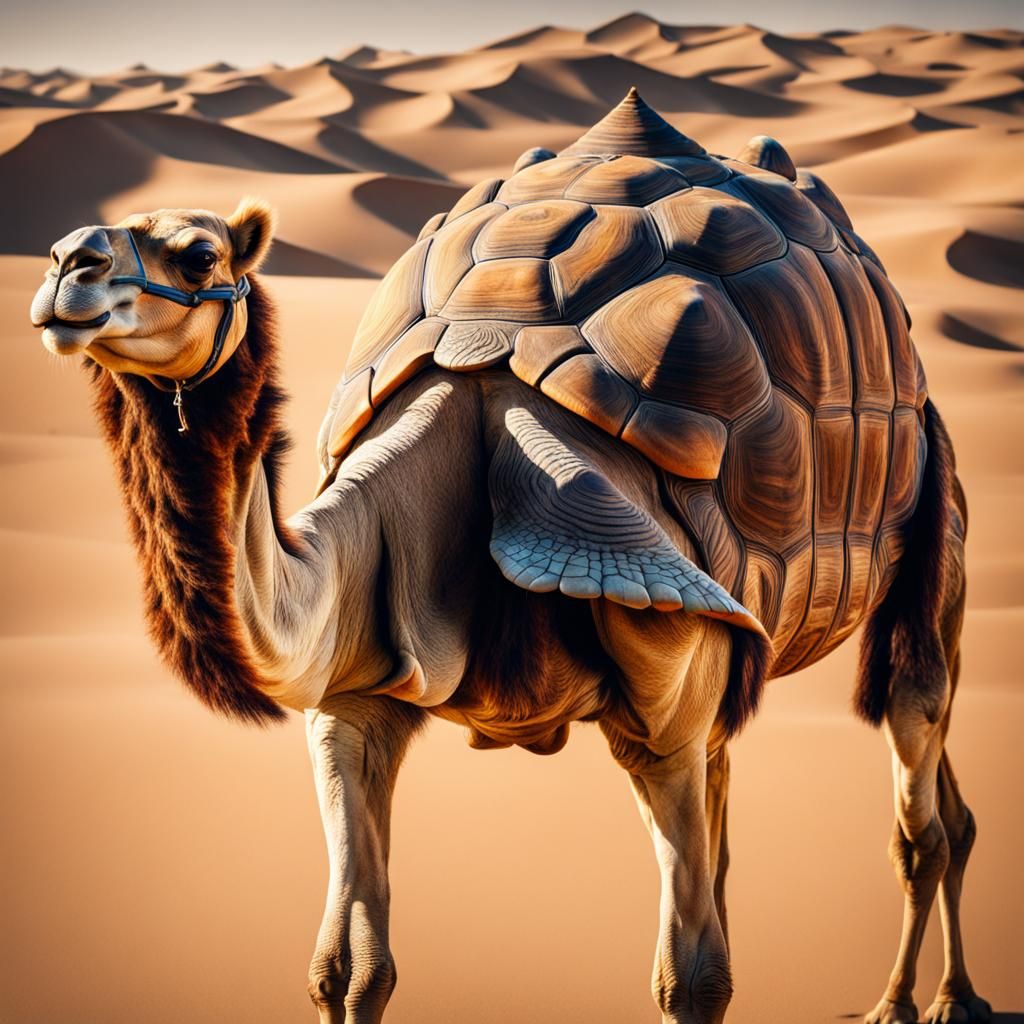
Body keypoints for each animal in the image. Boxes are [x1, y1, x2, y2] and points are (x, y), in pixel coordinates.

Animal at [30, 114, 989, 1024]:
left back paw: (914, 1001)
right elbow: (346, 967)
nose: (69, 262)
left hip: (929, 483)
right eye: (81, 241)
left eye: (200, 255)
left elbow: (693, 979)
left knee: (917, 746)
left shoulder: (660, 654)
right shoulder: (355, 688)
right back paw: (947, 994)